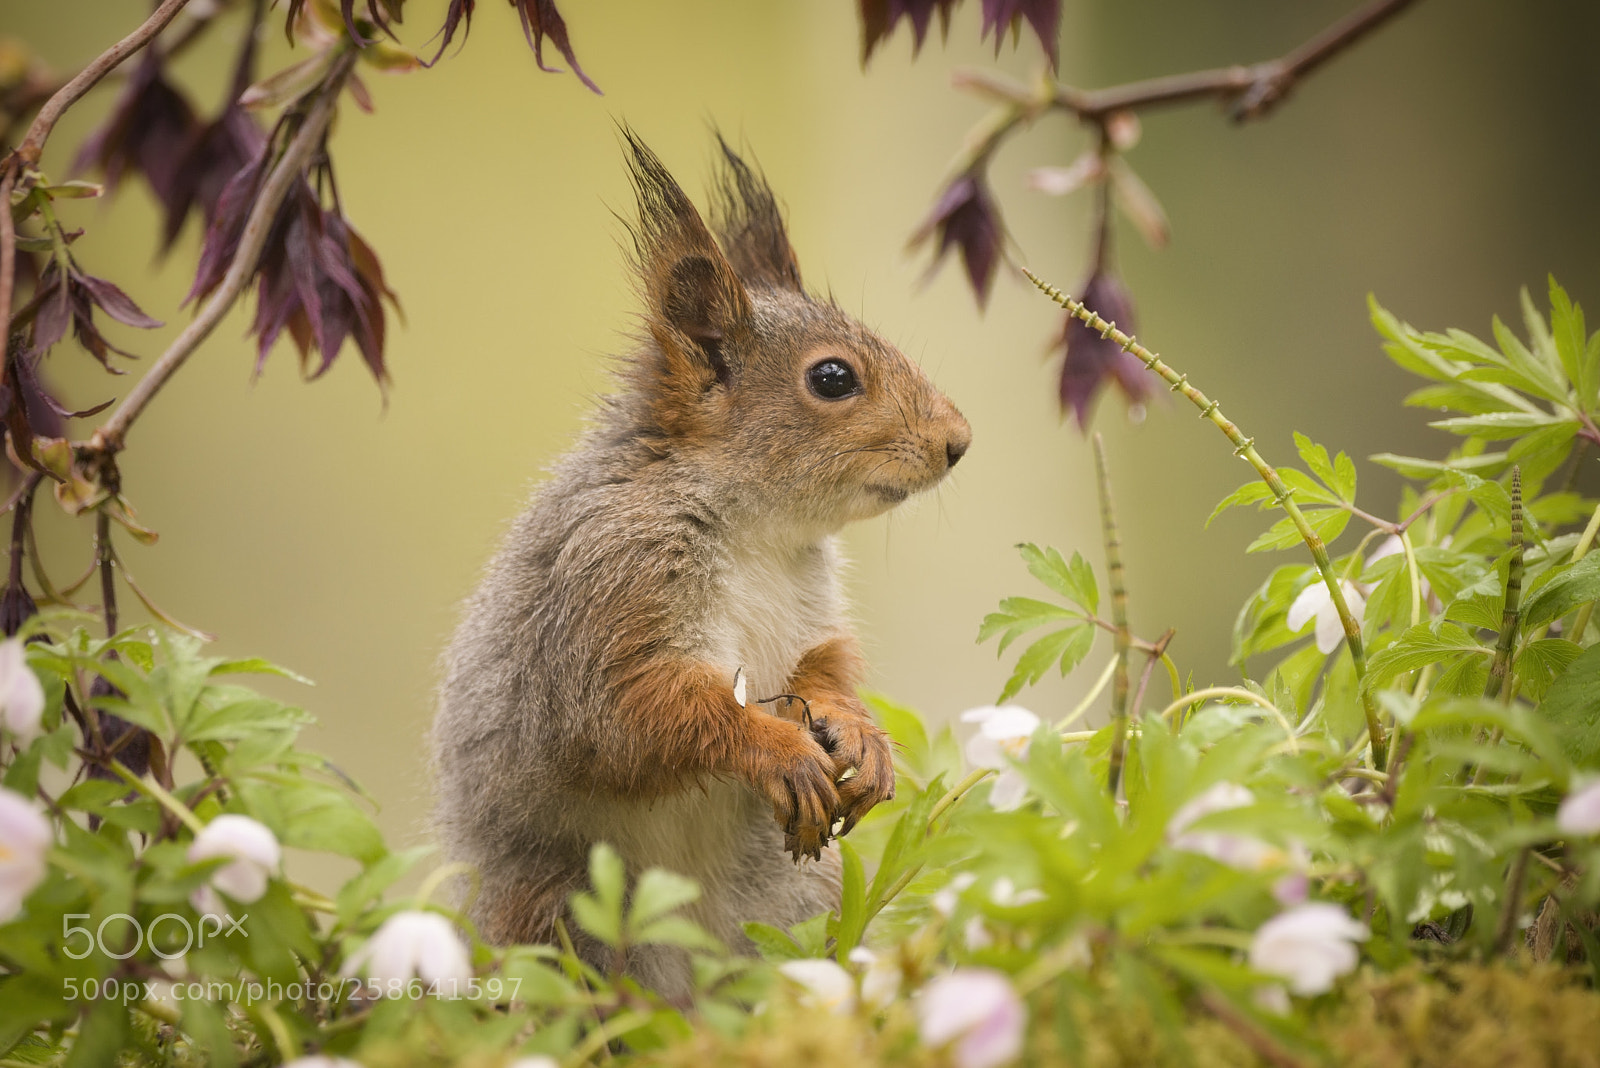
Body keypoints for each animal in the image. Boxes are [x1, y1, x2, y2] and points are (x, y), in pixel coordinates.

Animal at [431, 132, 971, 998]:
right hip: (567, 913)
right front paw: (776, 747)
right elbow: (636, 716)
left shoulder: (810, 611)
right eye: (833, 378)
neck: (758, 531)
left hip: (789, 901)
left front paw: (858, 735)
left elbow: (825, 666)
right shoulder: (608, 584)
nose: (958, 442)